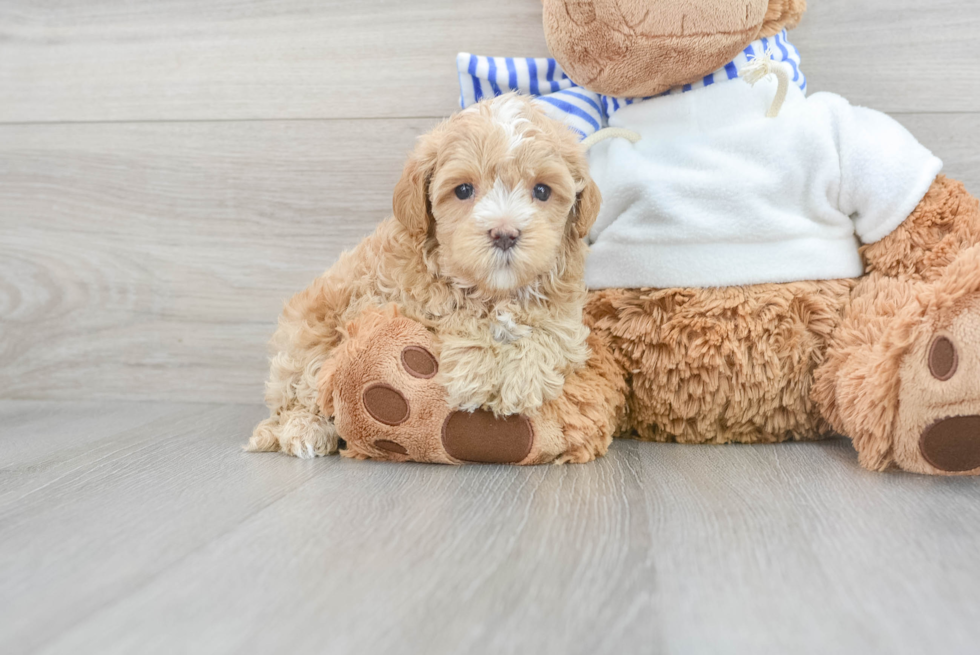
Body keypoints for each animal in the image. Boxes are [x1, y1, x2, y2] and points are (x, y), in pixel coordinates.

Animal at [249, 92, 600, 458]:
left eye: (542, 191)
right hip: (308, 337)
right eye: (463, 190)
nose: (504, 233)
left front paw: (518, 379)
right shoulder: (379, 299)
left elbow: (551, 334)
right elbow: (452, 318)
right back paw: (305, 430)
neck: (493, 291)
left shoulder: (566, 316)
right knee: (298, 394)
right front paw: (476, 371)